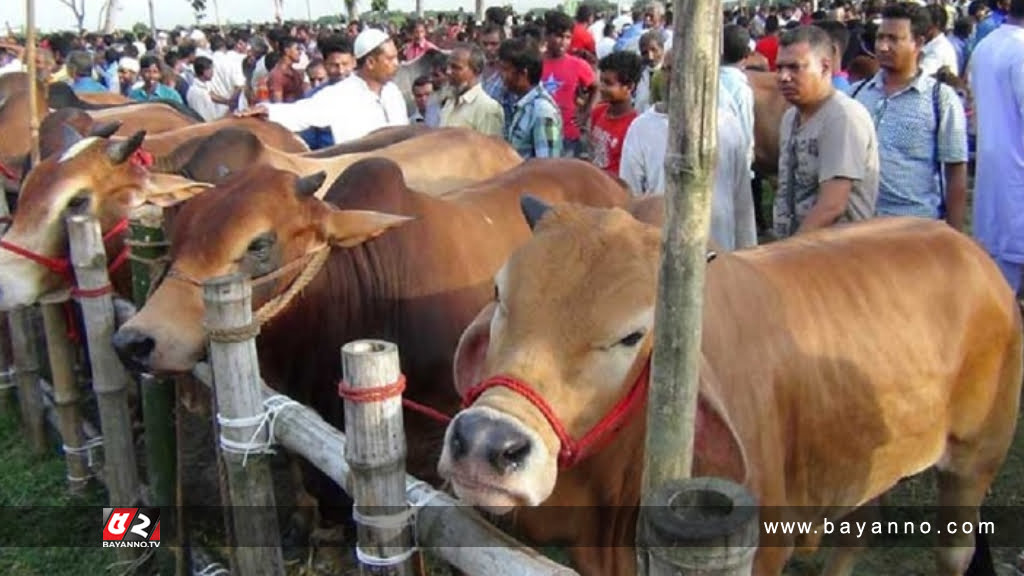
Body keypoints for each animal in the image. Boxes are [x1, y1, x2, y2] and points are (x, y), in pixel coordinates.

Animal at [440, 195, 1024, 573]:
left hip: (974, 463)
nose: (486, 442)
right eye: (500, 294)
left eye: (632, 336)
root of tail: (967, 247)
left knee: (953, 551)